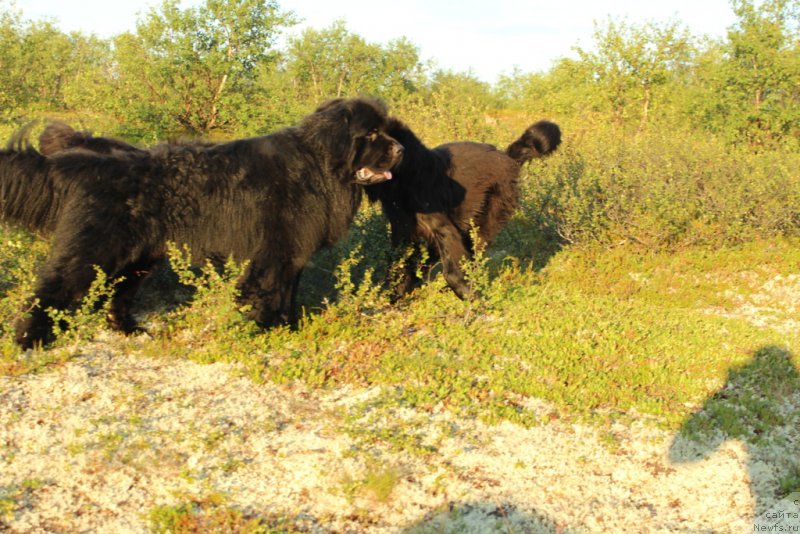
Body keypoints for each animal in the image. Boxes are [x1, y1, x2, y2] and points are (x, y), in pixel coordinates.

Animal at [0, 98, 400, 350]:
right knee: (52, 289)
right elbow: (269, 292)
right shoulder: (275, 253)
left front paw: (287, 327)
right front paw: (264, 330)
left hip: (137, 257)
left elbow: (287, 293)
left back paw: (129, 329)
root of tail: (96, 164)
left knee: (118, 294)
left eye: (387, 131)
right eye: (371, 133)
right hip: (93, 250)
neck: (320, 164)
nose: (401, 149)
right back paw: (29, 340)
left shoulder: (292, 254)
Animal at [366, 119, 560, 300]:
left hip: (488, 217)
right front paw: (391, 293)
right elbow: (398, 264)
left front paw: (470, 295)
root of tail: (507, 157)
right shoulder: (402, 229)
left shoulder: (443, 227)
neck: (403, 179)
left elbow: (451, 268)